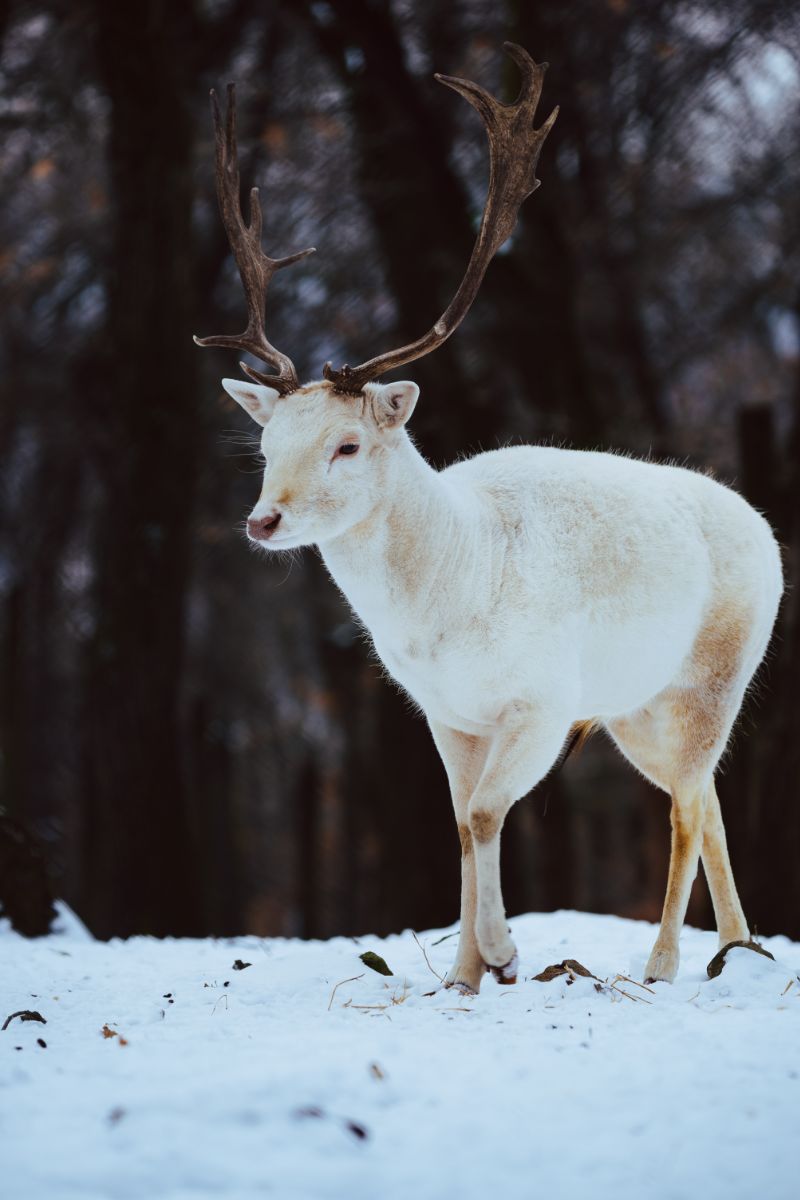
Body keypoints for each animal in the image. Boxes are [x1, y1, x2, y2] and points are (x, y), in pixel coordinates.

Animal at [194, 42, 782, 988]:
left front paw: (504, 954)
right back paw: (734, 948)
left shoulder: (539, 703)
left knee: (687, 807)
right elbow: (462, 825)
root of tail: (763, 527)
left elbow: (481, 816)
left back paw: (661, 963)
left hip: (713, 679)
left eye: (346, 446)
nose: (263, 522)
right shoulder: (447, 713)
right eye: (267, 442)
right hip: (636, 706)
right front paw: (466, 977)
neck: (452, 598)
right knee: (708, 796)